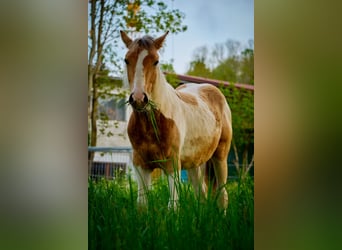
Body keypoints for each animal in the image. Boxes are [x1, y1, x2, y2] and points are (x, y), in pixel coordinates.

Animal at [120, 30, 232, 209]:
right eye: (126, 59)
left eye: (156, 61)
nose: (138, 99)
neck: (152, 124)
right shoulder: (140, 164)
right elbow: (142, 205)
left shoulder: (172, 165)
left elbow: (173, 206)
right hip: (194, 164)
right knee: (201, 195)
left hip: (220, 157)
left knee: (223, 196)